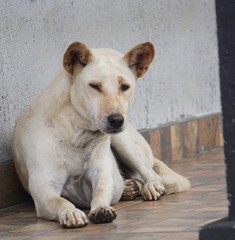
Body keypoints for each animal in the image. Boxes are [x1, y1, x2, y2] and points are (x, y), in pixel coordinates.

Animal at [11, 41, 190, 227]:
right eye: (94, 86)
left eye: (124, 87)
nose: (117, 120)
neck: (75, 132)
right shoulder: (44, 187)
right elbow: (60, 200)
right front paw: (70, 212)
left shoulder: (101, 173)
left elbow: (101, 191)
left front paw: (101, 208)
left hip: (123, 142)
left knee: (150, 174)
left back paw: (150, 186)